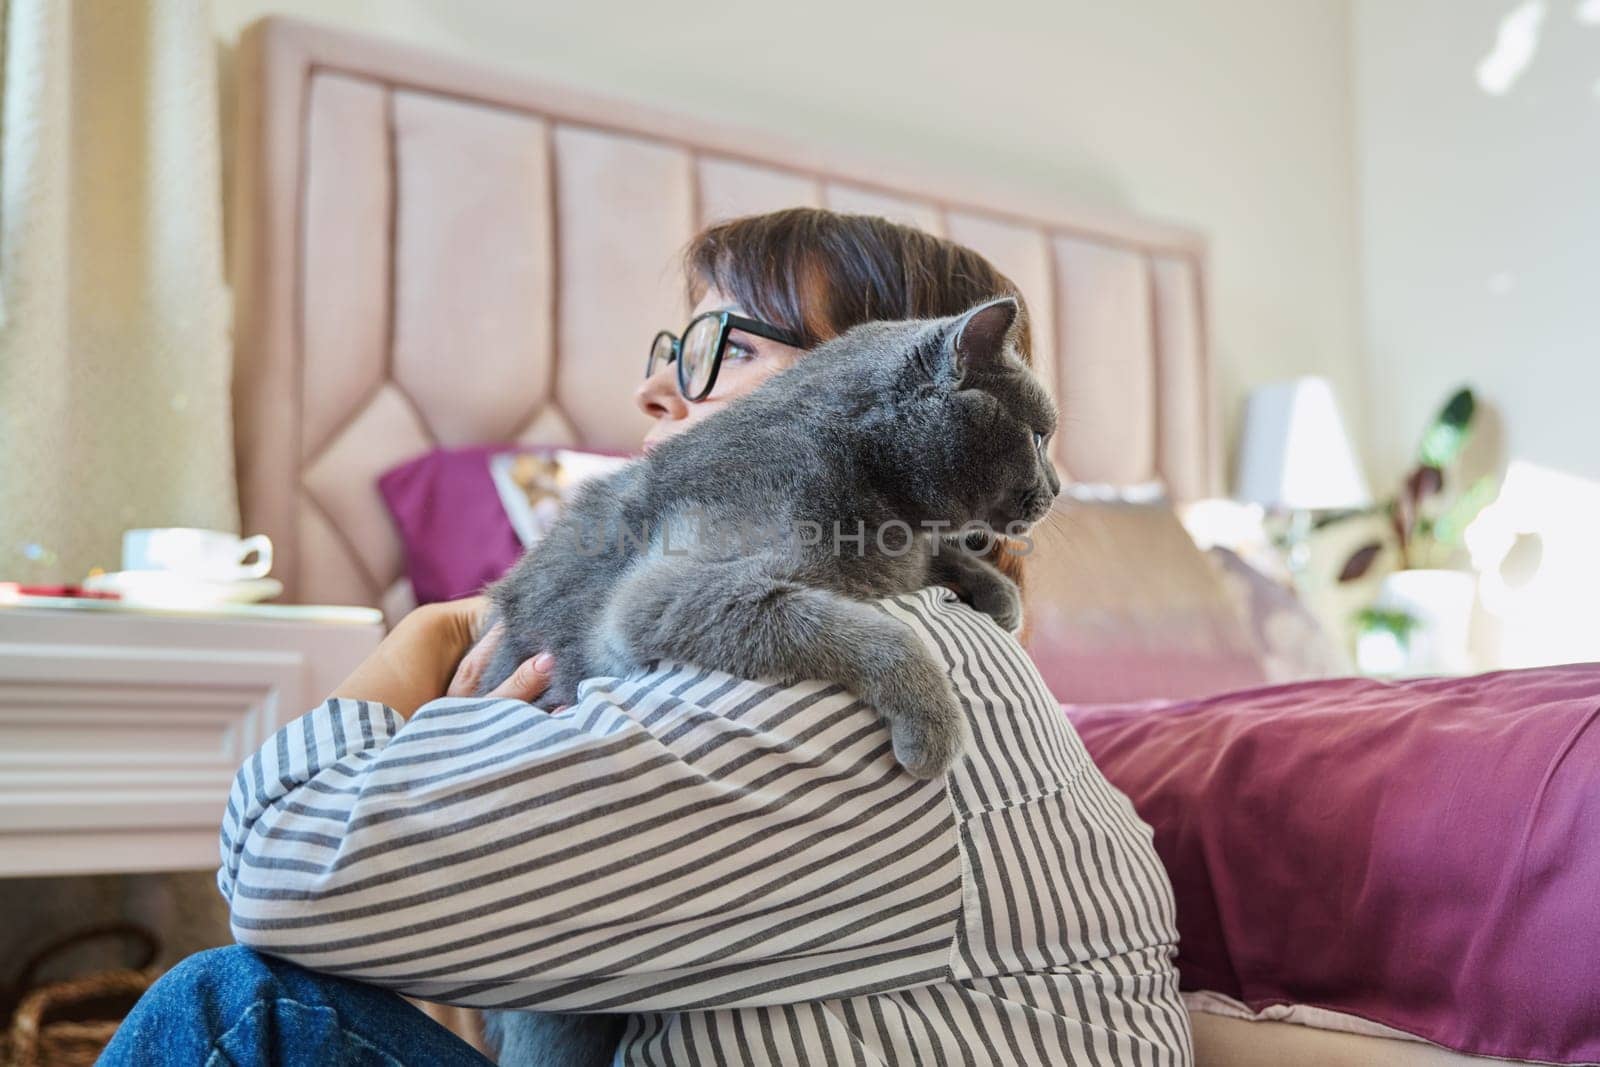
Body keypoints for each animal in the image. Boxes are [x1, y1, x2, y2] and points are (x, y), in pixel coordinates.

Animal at [476, 295, 1049, 1062]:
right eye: (1039, 436)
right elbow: (862, 626)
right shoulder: (660, 597)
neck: (865, 473)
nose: (1057, 488)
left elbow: (937, 553)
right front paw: (933, 717)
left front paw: (996, 592)